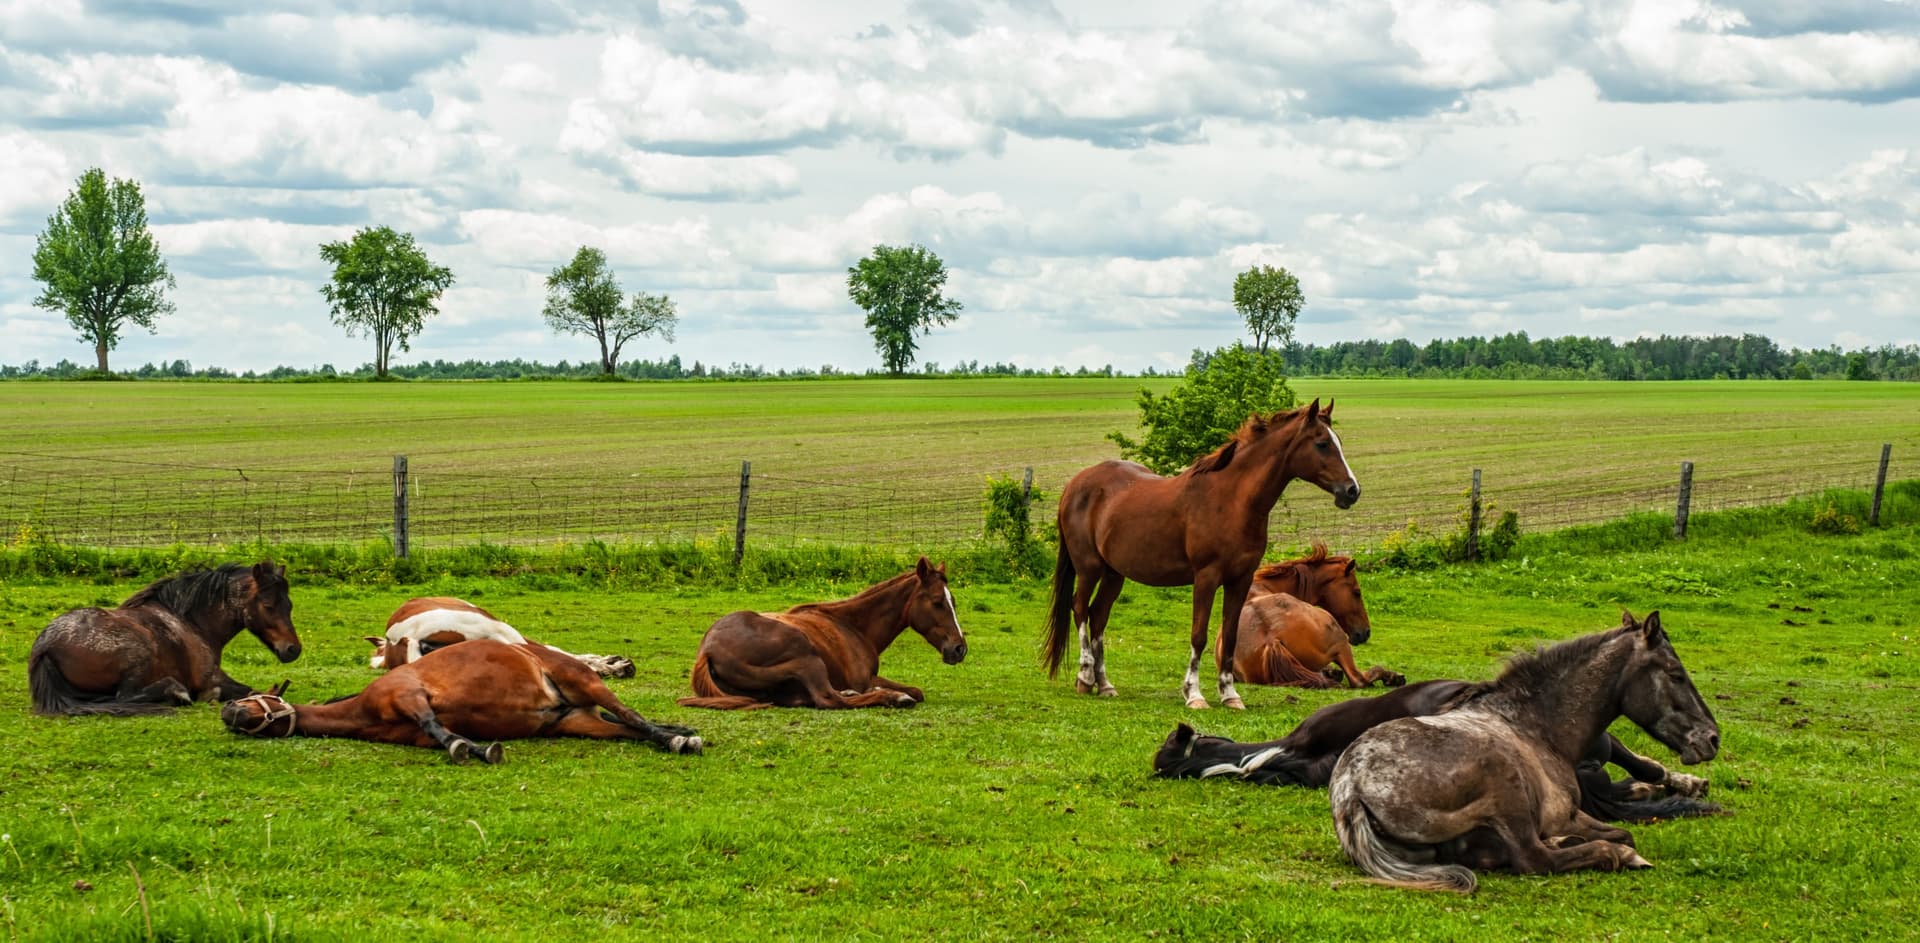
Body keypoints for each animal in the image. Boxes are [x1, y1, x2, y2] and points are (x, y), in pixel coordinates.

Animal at [27, 562, 301, 716]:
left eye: (289, 605)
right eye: (268, 605)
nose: (293, 649)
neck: (190, 622)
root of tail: (46, 647)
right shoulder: (211, 677)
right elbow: (247, 690)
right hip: (138, 656)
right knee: (125, 696)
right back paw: (176, 693)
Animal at [220, 639, 701, 763]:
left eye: (258, 697)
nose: (228, 711)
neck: (364, 710)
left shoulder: (409, 693)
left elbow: (436, 725)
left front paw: (470, 749)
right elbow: (440, 733)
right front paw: (471, 745)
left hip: (583, 683)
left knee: (630, 715)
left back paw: (678, 740)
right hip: (576, 722)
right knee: (626, 729)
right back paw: (679, 734)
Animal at [678, 557, 966, 710]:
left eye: (954, 601)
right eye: (938, 602)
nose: (959, 648)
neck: (854, 626)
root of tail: (707, 651)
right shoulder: (863, 678)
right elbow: (913, 691)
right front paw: (895, 694)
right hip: (808, 658)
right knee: (828, 698)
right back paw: (891, 698)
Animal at [1043, 400, 1360, 709]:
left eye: (1338, 441)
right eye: (1322, 443)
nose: (1352, 490)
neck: (1232, 500)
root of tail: (1075, 484)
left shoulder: (1240, 580)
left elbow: (1230, 636)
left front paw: (1230, 694)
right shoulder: (1206, 577)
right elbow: (1199, 634)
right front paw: (1194, 694)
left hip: (1114, 574)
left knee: (1098, 616)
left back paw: (1105, 684)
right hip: (1089, 568)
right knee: (1079, 608)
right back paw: (1085, 677)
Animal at [1329, 611, 1719, 892]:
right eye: (1676, 674)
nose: (1712, 738)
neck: (1535, 726)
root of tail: (1351, 788)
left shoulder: (1572, 815)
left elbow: (1618, 830)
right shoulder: (1562, 815)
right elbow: (1622, 836)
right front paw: (1619, 850)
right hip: (1506, 787)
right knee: (1535, 858)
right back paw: (1610, 854)